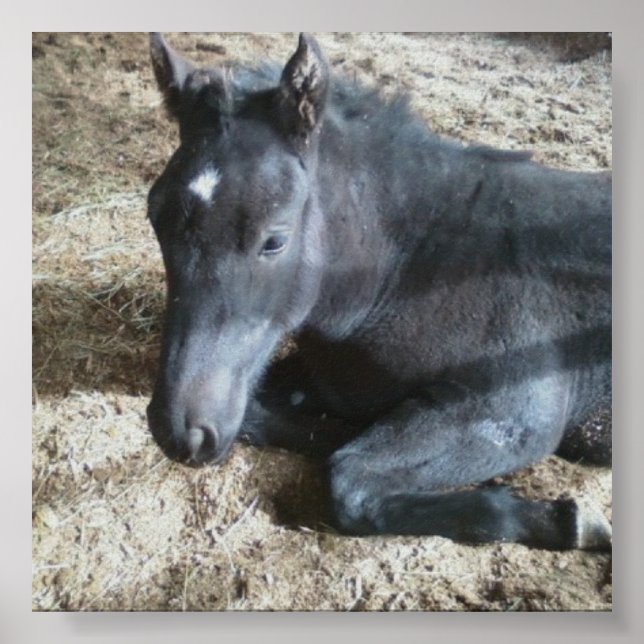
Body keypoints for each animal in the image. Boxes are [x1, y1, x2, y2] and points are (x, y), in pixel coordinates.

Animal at [145, 33, 611, 550]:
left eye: (274, 239)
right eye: (154, 216)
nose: (180, 431)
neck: (418, 263)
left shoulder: (514, 406)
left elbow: (348, 481)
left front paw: (568, 520)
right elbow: (286, 423)